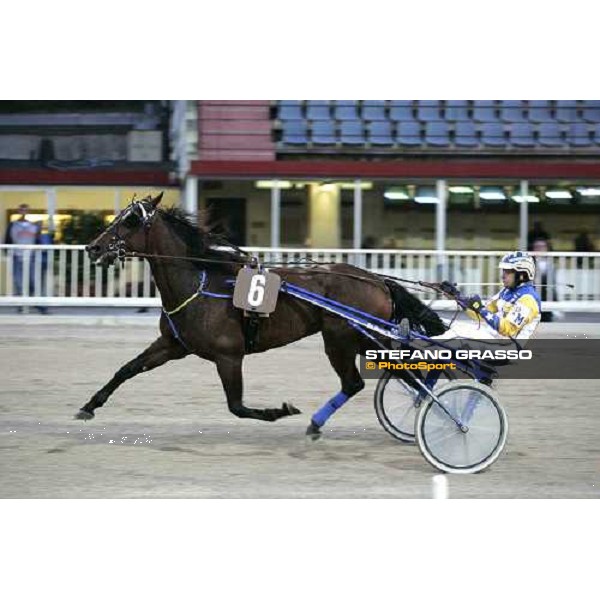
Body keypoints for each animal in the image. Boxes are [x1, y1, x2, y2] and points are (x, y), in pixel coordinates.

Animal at [78, 192, 446, 436]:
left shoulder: (228, 356)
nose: (93, 247)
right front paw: (89, 406)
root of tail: (378, 280)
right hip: (355, 339)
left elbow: (237, 406)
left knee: (376, 379)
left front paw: (280, 411)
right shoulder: (173, 345)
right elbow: (127, 369)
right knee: (370, 380)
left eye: (131, 220)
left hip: (345, 338)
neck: (198, 282)